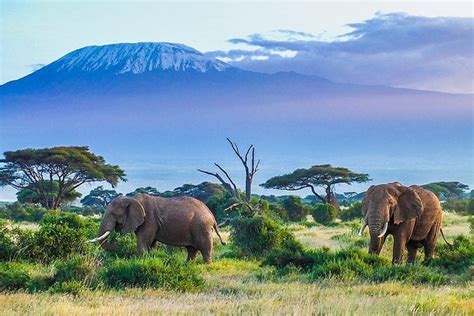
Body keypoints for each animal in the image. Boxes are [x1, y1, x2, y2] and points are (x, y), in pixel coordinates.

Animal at [88, 194, 226, 262]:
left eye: (114, 214)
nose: (116, 243)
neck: (132, 199)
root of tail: (211, 214)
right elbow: (151, 244)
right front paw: (149, 259)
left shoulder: (149, 220)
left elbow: (143, 241)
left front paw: (140, 261)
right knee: (191, 249)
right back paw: (188, 265)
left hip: (202, 226)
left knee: (205, 248)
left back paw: (206, 265)